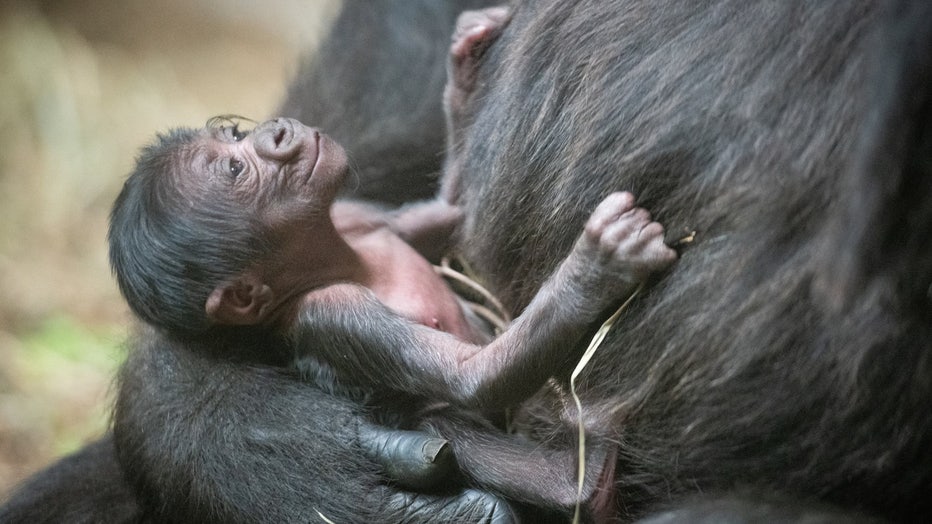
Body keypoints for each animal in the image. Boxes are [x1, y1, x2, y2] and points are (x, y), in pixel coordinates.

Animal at [107, 118, 676, 512]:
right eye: (235, 171)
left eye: (234, 136)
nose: (277, 132)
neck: (341, 256)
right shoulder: (334, 311)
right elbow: (469, 377)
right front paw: (595, 266)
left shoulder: (358, 216)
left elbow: (452, 208)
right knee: (442, 420)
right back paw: (583, 478)